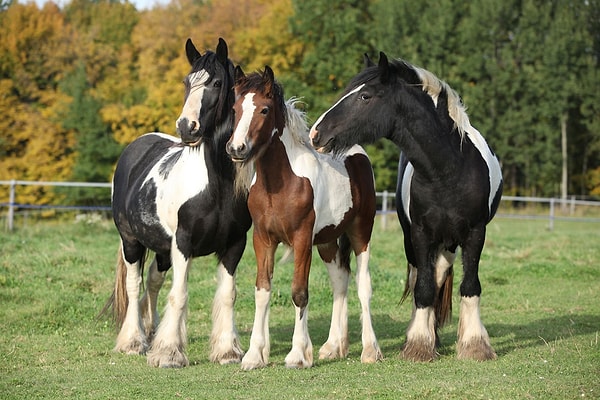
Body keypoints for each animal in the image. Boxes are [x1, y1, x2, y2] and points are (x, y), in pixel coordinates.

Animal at [105, 38, 251, 368]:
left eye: (216, 83)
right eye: (187, 82)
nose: (187, 127)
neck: (217, 187)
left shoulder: (235, 244)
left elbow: (228, 295)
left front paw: (227, 351)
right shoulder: (183, 244)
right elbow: (180, 294)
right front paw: (169, 353)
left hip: (161, 248)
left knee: (152, 282)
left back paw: (151, 331)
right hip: (131, 242)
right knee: (133, 286)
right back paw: (133, 341)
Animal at [227, 65, 382, 368]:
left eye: (264, 110)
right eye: (235, 108)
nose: (236, 149)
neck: (281, 183)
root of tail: (356, 152)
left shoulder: (301, 240)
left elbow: (299, 293)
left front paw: (298, 354)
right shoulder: (263, 239)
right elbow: (262, 291)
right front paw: (254, 355)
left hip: (361, 232)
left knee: (363, 285)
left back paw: (370, 350)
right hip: (328, 241)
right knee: (340, 281)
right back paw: (334, 346)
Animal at [310, 51, 502, 360]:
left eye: (365, 96)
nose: (316, 134)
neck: (449, 171)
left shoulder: (475, 233)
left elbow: (470, 285)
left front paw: (475, 345)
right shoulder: (420, 234)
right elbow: (422, 288)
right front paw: (419, 344)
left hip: (449, 242)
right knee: (425, 279)